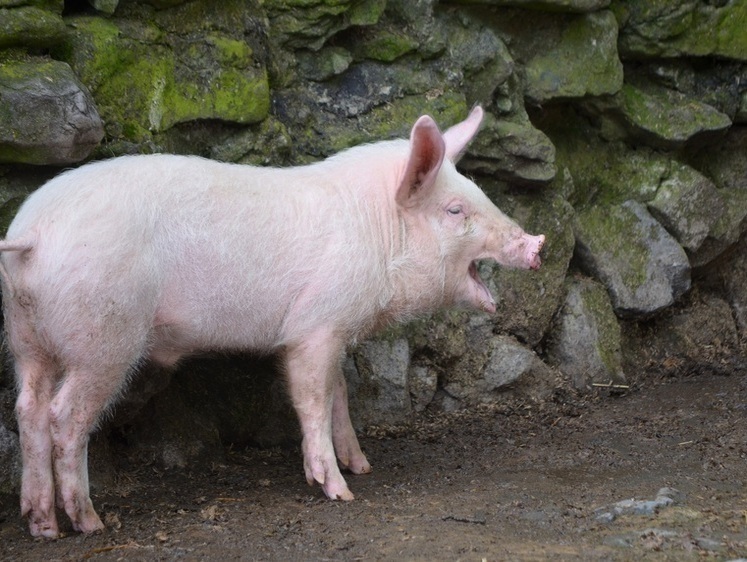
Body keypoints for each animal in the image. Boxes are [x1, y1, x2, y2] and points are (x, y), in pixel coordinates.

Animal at [0, 105, 544, 532]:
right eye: (455, 210)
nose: (536, 244)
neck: (379, 231)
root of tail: (32, 233)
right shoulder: (315, 325)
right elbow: (313, 398)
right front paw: (341, 491)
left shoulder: (333, 329)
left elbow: (338, 393)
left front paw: (363, 467)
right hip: (102, 338)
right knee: (63, 415)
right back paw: (89, 522)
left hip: (26, 337)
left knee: (27, 410)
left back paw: (41, 524)